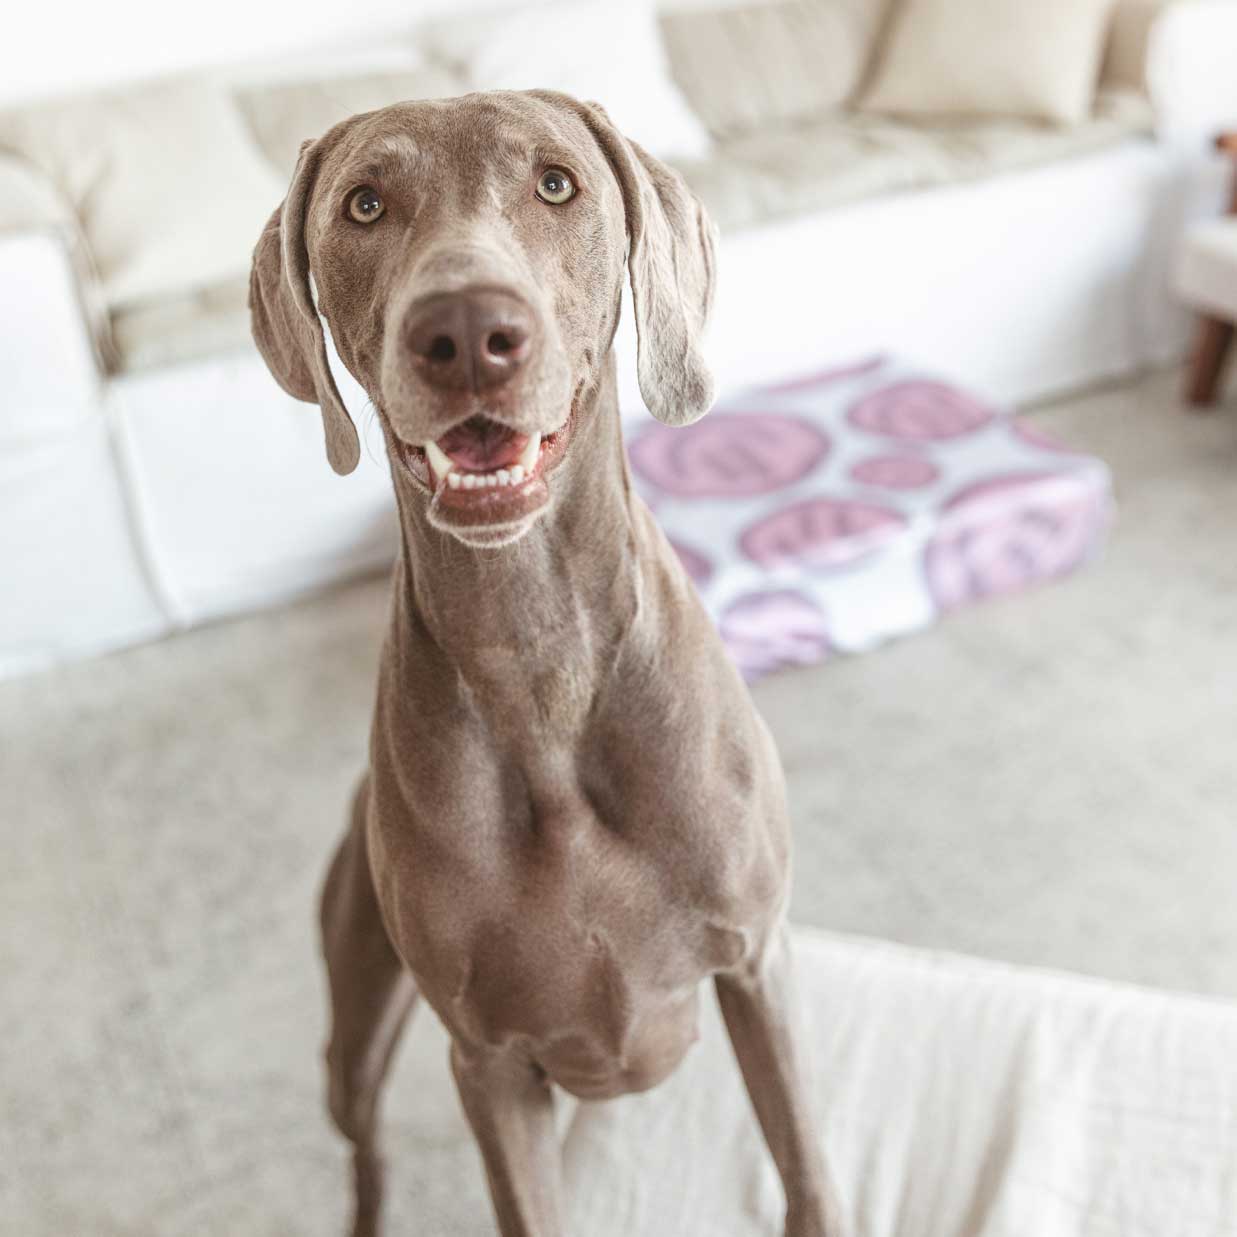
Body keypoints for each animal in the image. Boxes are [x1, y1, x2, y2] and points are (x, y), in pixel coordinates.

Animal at [251, 89, 851, 1237]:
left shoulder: (759, 963)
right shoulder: (485, 1062)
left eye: (556, 183)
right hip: (354, 1023)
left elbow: (805, 1169)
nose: (464, 333)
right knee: (362, 1137)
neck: (538, 660)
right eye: (364, 204)